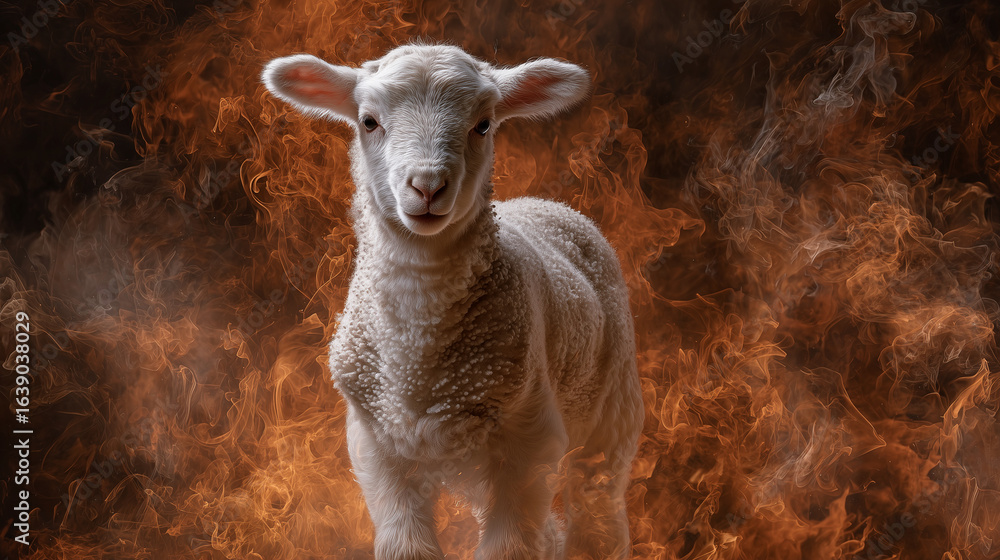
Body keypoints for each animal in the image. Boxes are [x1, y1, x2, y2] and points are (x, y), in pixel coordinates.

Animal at [262, 44, 642, 560]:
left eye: (483, 124)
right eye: (368, 122)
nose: (426, 186)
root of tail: (549, 204)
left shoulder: (530, 439)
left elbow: (509, 549)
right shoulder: (375, 444)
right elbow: (407, 546)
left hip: (611, 406)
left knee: (598, 502)